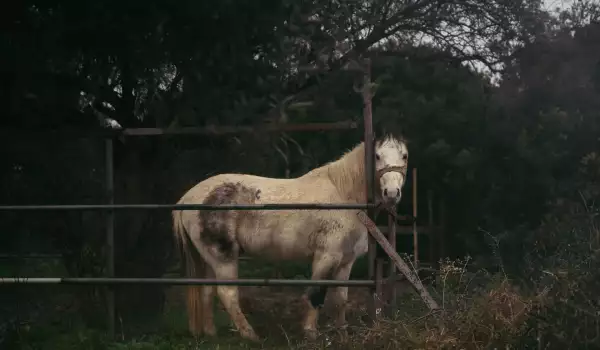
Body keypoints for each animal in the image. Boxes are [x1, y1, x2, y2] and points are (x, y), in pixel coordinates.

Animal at [171, 133, 410, 340]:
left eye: (405, 156)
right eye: (377, 156)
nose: (391, 193)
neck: (344, 195)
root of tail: (187, 199)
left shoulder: (345, 261)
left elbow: (341, 298)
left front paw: (342, 331)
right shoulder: (326, 256)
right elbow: (316, 294)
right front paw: (311, 333)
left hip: (208, 258)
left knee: (207, 291)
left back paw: (211, 334)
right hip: (223, 258)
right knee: (227, 293)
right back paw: (250, 335)